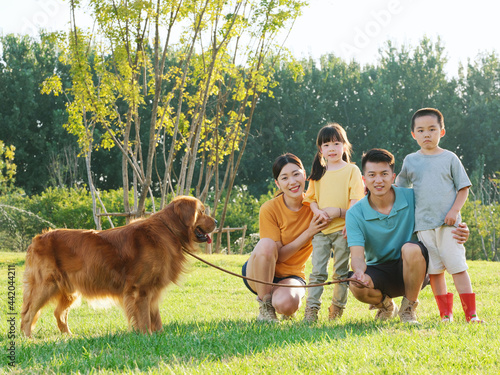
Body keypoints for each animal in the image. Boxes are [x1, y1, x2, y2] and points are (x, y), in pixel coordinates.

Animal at [20, 197, 216, 338]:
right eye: (202, 212)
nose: (215, 221)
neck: (168, 230)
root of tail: (37, 238)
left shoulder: (152, 290)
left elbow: (156, 316)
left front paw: (160, 335)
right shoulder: (141, 290)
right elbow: (144, 317)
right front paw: (147, 336)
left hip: (68, 289)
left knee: (59, 313)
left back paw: (68, 335)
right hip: (45, 286)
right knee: (28, 313)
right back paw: (27, 338)